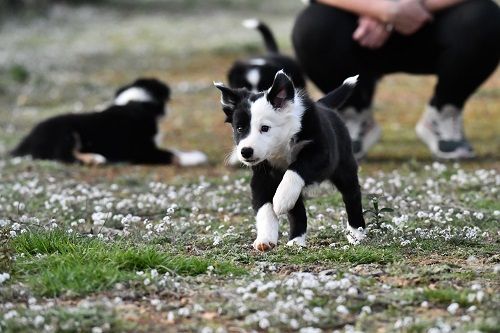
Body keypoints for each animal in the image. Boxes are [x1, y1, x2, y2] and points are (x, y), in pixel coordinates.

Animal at [10, 78, 208, 166]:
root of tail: (26, 140)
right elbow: (172, 154)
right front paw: (196, 156)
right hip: (66, 132)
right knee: (64, 156)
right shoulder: (141, 151)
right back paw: (94, 158)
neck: (136, 103)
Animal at [214, 71, 364, 250]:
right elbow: (264, 208)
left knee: (352, 197)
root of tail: (325, 106)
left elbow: (296, 169)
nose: (245, 152)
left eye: (265, 128)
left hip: (344, 168)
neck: (281, 147)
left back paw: (357, 233)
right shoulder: (262, 176)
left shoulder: (322, 154)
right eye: (239, 128)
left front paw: (280, 199)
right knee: (297, 212)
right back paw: (296, 241)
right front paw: (265, 239)